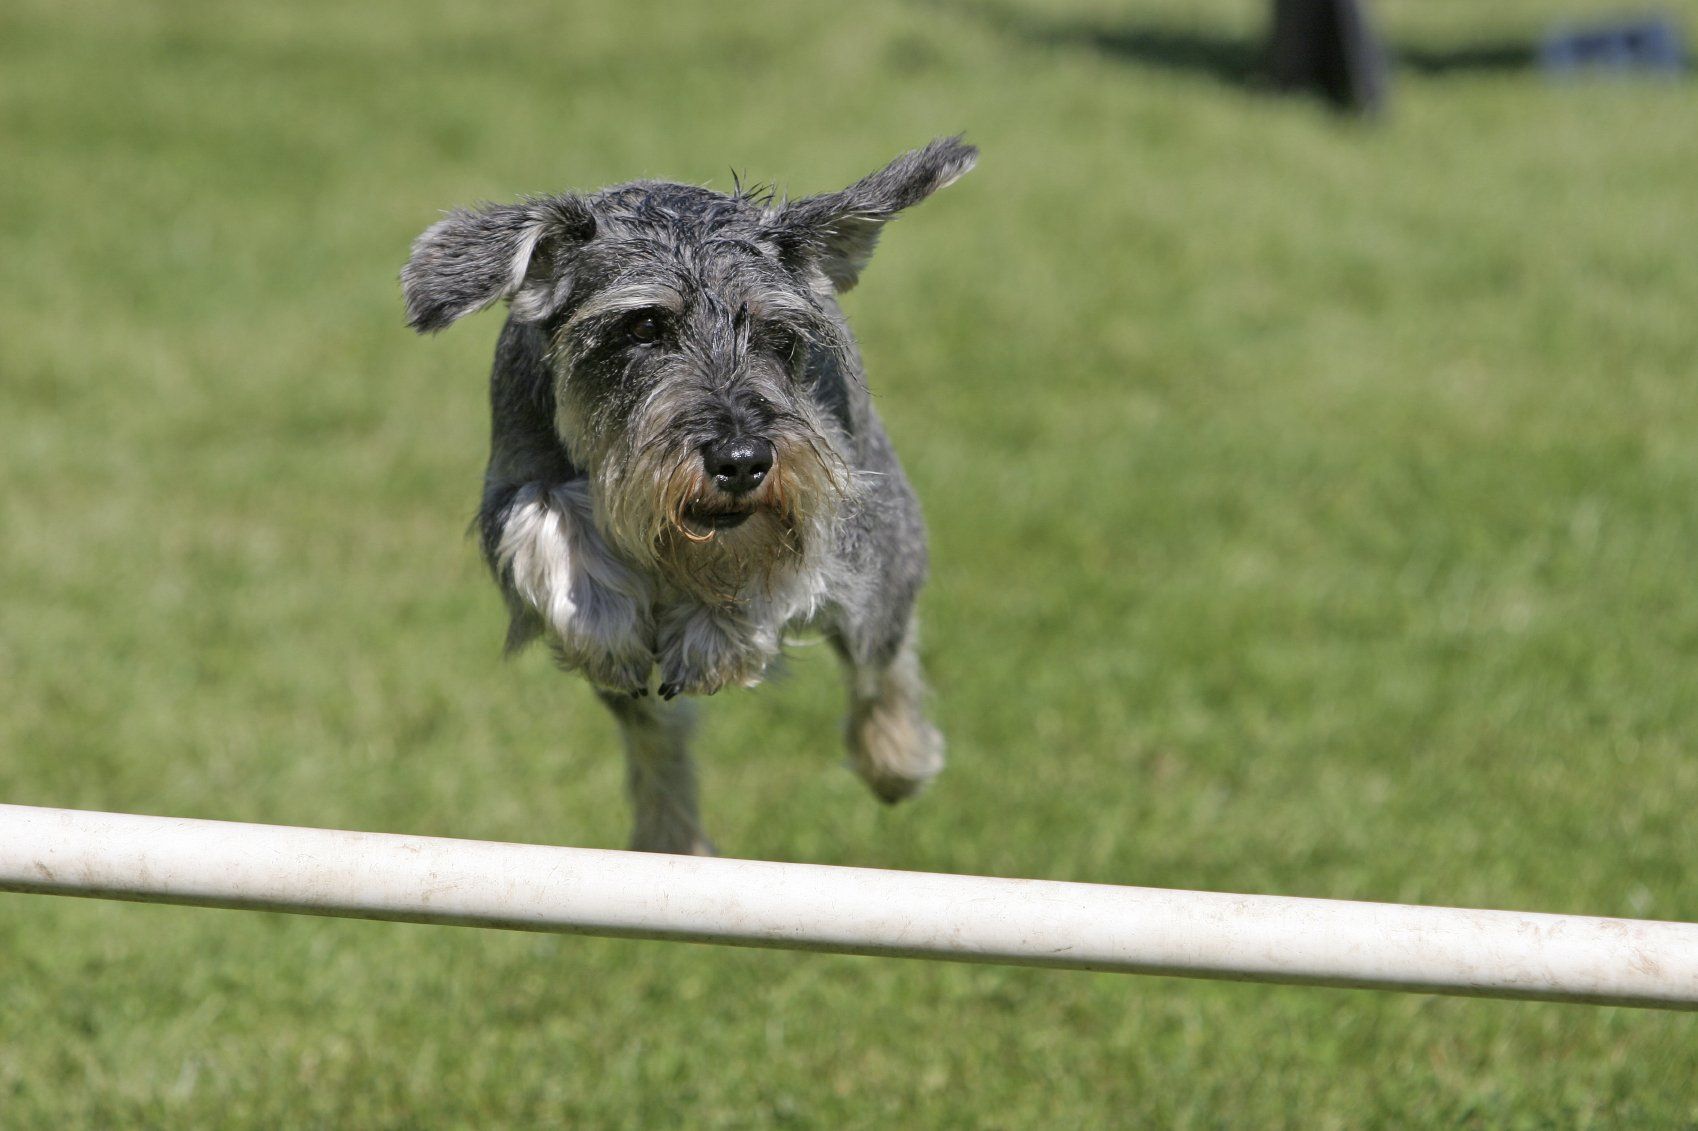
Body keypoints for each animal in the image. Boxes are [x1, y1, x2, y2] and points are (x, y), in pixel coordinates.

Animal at [400, 136, 984, 849]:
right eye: (644, 326)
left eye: (776, 334)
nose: (742, 462)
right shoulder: (510, 482)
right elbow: (545, 514)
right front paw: (603, 616)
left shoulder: (833, 495)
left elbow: (785, 561)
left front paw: (717, 633)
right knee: (658, 741)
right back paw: (670, 838)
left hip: (885, 557)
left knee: (883, 657)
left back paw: (897, 759)